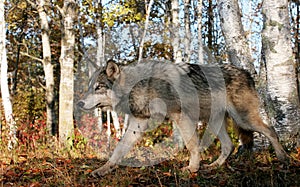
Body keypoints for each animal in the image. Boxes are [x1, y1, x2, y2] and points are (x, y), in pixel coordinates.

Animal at [77, 59, 288, 177]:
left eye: (98, 87)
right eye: (89, 88)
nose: (79, 103)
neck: (138, 85)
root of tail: (247, 73)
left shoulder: (180, 116)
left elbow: (192, 144)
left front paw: (193, 168)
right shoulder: (139, 122)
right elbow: (119, 149)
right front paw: (103, 169)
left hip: (244, 119)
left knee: (271, 130)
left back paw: (283, 157)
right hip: (215, 123)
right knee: (229, 145)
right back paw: (213, 166)